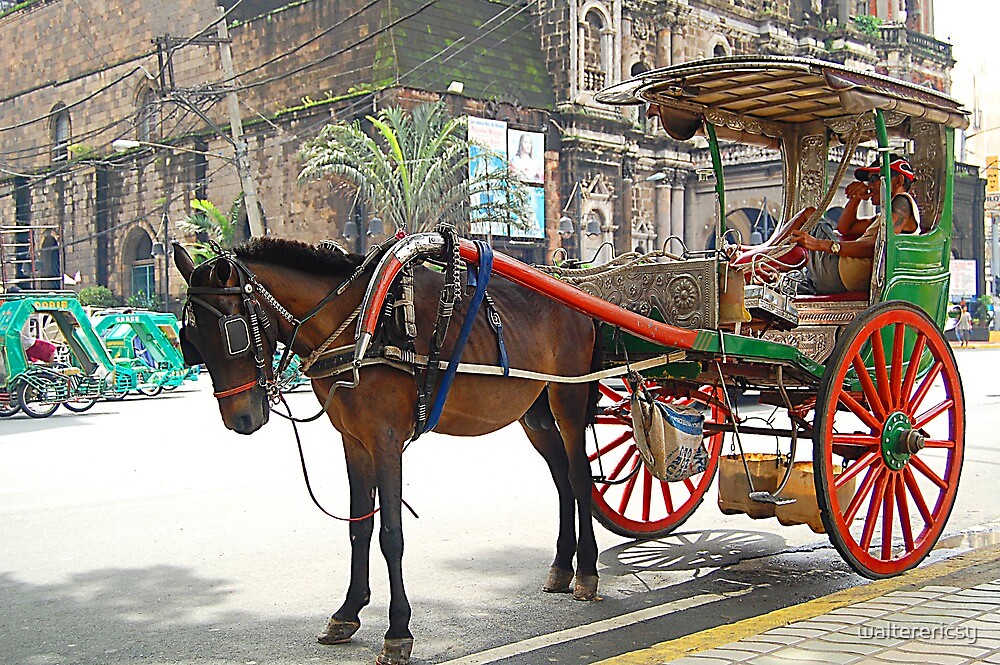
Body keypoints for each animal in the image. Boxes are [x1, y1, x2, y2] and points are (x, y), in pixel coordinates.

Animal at [174, 236, 600, 660]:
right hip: (534, 413)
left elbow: (390, 535)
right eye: (191, 341)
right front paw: (347, 612)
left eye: (233, 333)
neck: (359, 327)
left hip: (569, 397)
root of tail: (573, 292)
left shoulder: (386, 441)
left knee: (579, 478)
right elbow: (358, 527)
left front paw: (397, 631)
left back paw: (587, 571)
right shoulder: (354, 441)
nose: (241, 419)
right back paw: (562, 566)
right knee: (562, 480)